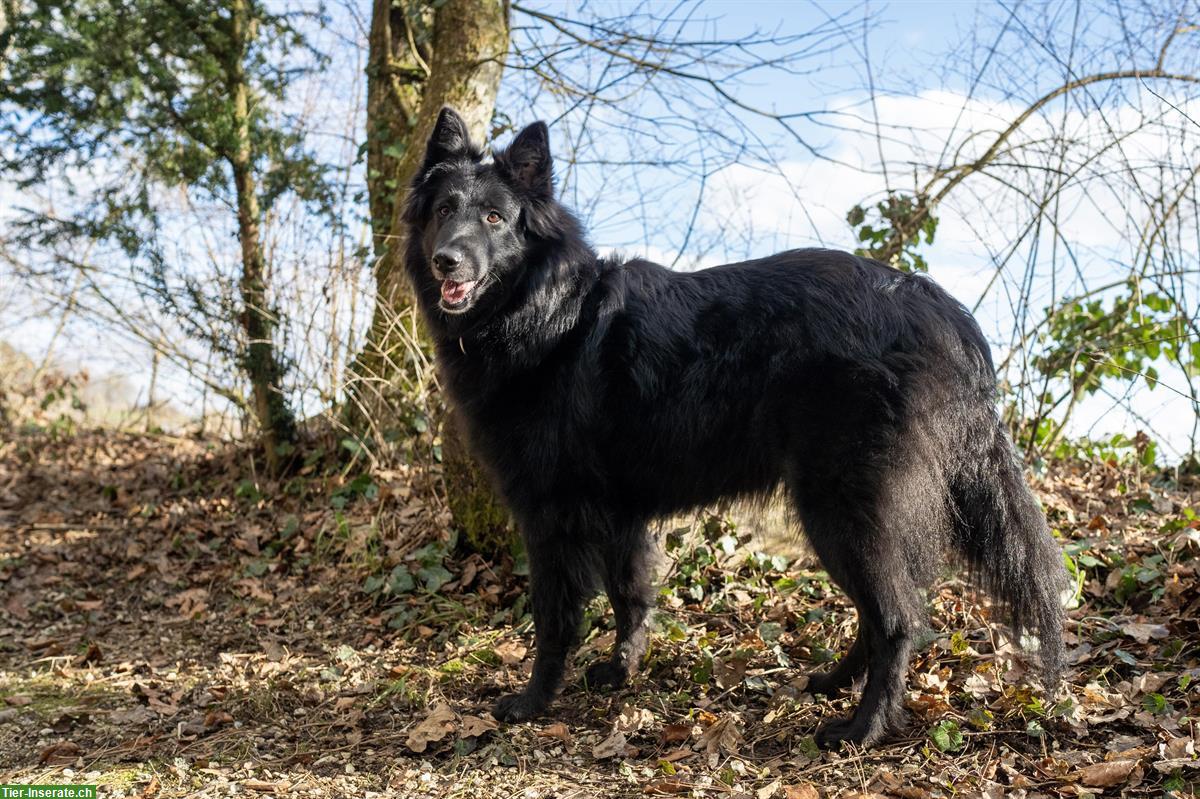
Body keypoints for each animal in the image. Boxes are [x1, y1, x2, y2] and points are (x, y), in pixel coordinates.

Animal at [403, 107, 1070, 748]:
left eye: (494, 218)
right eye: (444, 211)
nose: (446, 260)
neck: (544, 312)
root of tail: (942, 310)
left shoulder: (549, 515)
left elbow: (554, 618)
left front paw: (533, 702)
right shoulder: (619, 514)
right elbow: (630, 594)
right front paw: (622, 669)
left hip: (839, 504)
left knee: (898, 616)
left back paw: (863, 728)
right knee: (881, 608)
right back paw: (834, 681)